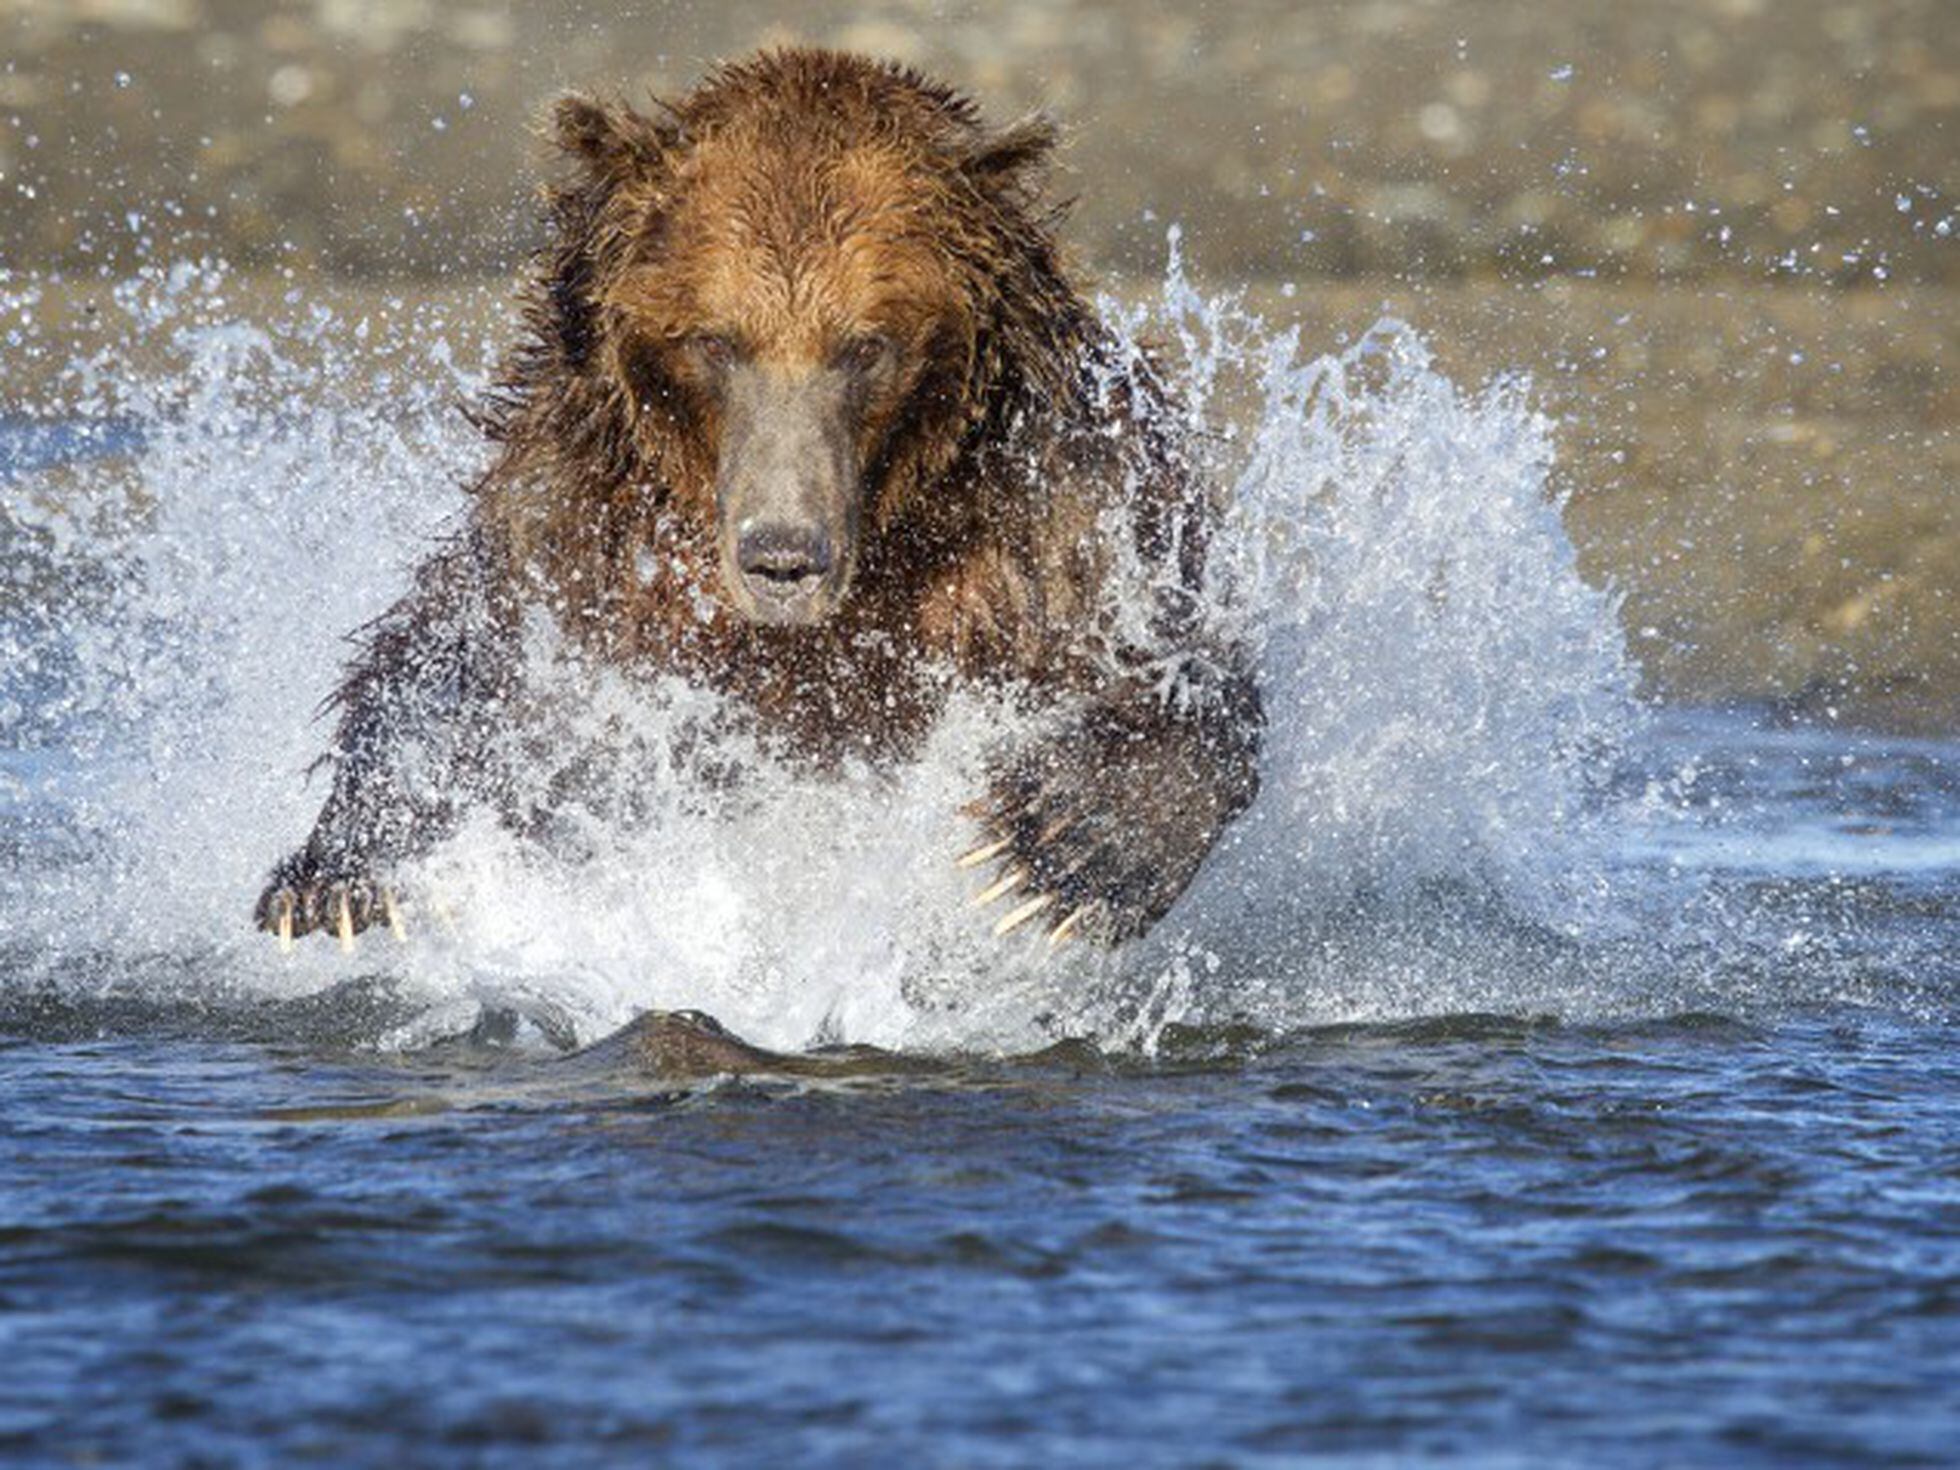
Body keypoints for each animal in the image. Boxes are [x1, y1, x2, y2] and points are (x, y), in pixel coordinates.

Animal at [252, 46, 1262, 956]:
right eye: (714, 340)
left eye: (866, 345)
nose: (784, 554)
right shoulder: (587, 530)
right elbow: (462, 661)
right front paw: (334, 877)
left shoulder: (1051, 517)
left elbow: (1173, 660)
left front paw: (1059, 850)